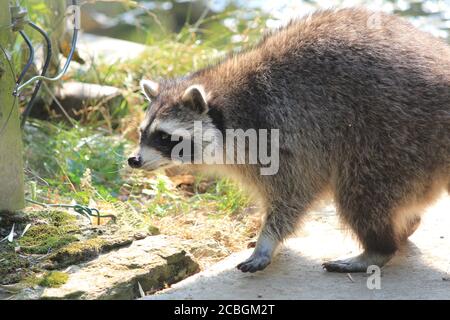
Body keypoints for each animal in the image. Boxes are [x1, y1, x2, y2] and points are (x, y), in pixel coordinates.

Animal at [128, 7, 450, 272]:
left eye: (165, 137)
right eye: (142, 132)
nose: (134, 160)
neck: (227, 107)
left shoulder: (280, 135)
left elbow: (294, 193)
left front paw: (267, 240)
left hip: (394, 136)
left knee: (361, 192)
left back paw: (378, 248)